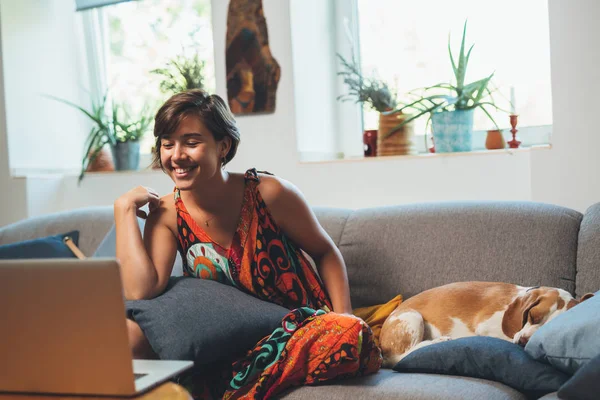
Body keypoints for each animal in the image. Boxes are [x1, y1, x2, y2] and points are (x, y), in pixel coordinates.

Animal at [382, 282, 592, 368]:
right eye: (532, 316)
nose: (524, 341)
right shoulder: (485, 326)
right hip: (413, 317)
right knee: (403, 355)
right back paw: (437, 341)